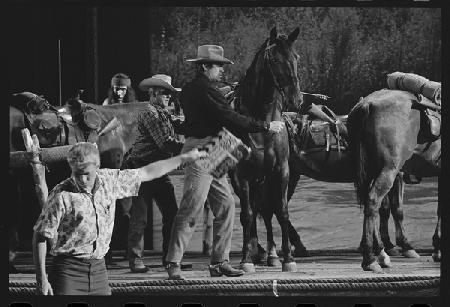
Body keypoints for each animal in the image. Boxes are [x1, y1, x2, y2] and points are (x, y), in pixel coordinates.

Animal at [346, 89, 442, 274]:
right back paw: (370, 260)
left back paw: (380, 254)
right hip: (389, 169)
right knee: (373, 201)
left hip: (370, 171)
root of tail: (366, 104)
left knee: (372, 205)